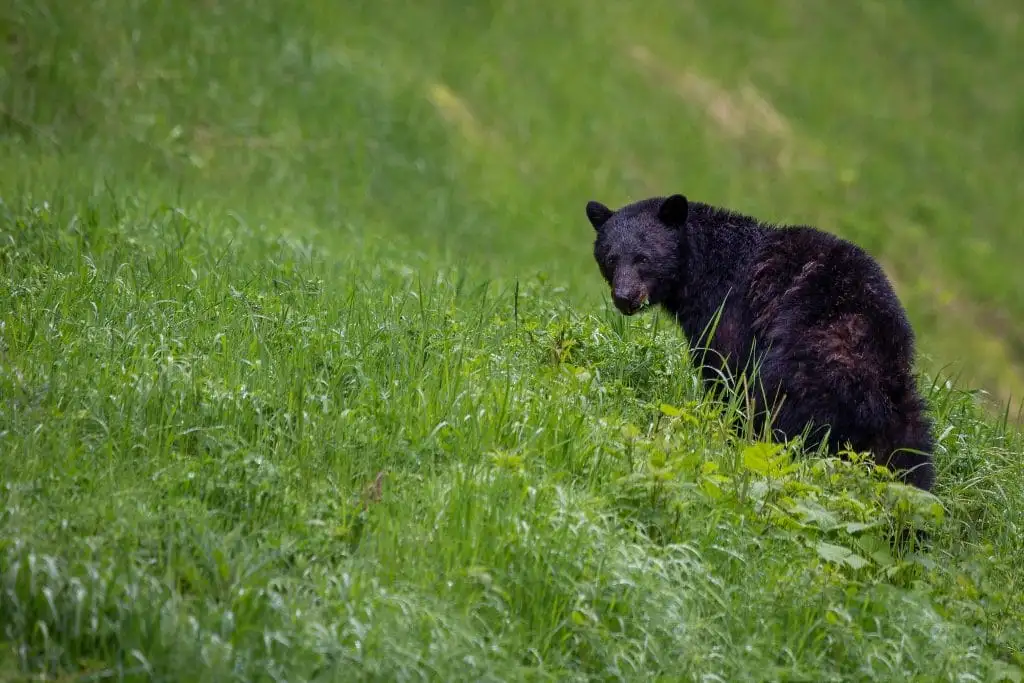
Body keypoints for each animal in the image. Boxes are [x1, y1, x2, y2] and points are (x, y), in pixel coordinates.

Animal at [585, 193, 936, 491]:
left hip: (802, 367)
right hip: (905, 413)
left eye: (643, 258)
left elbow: (725, 370)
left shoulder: (728, 310)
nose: (625, 297)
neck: (701, 267)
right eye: (611, 258)